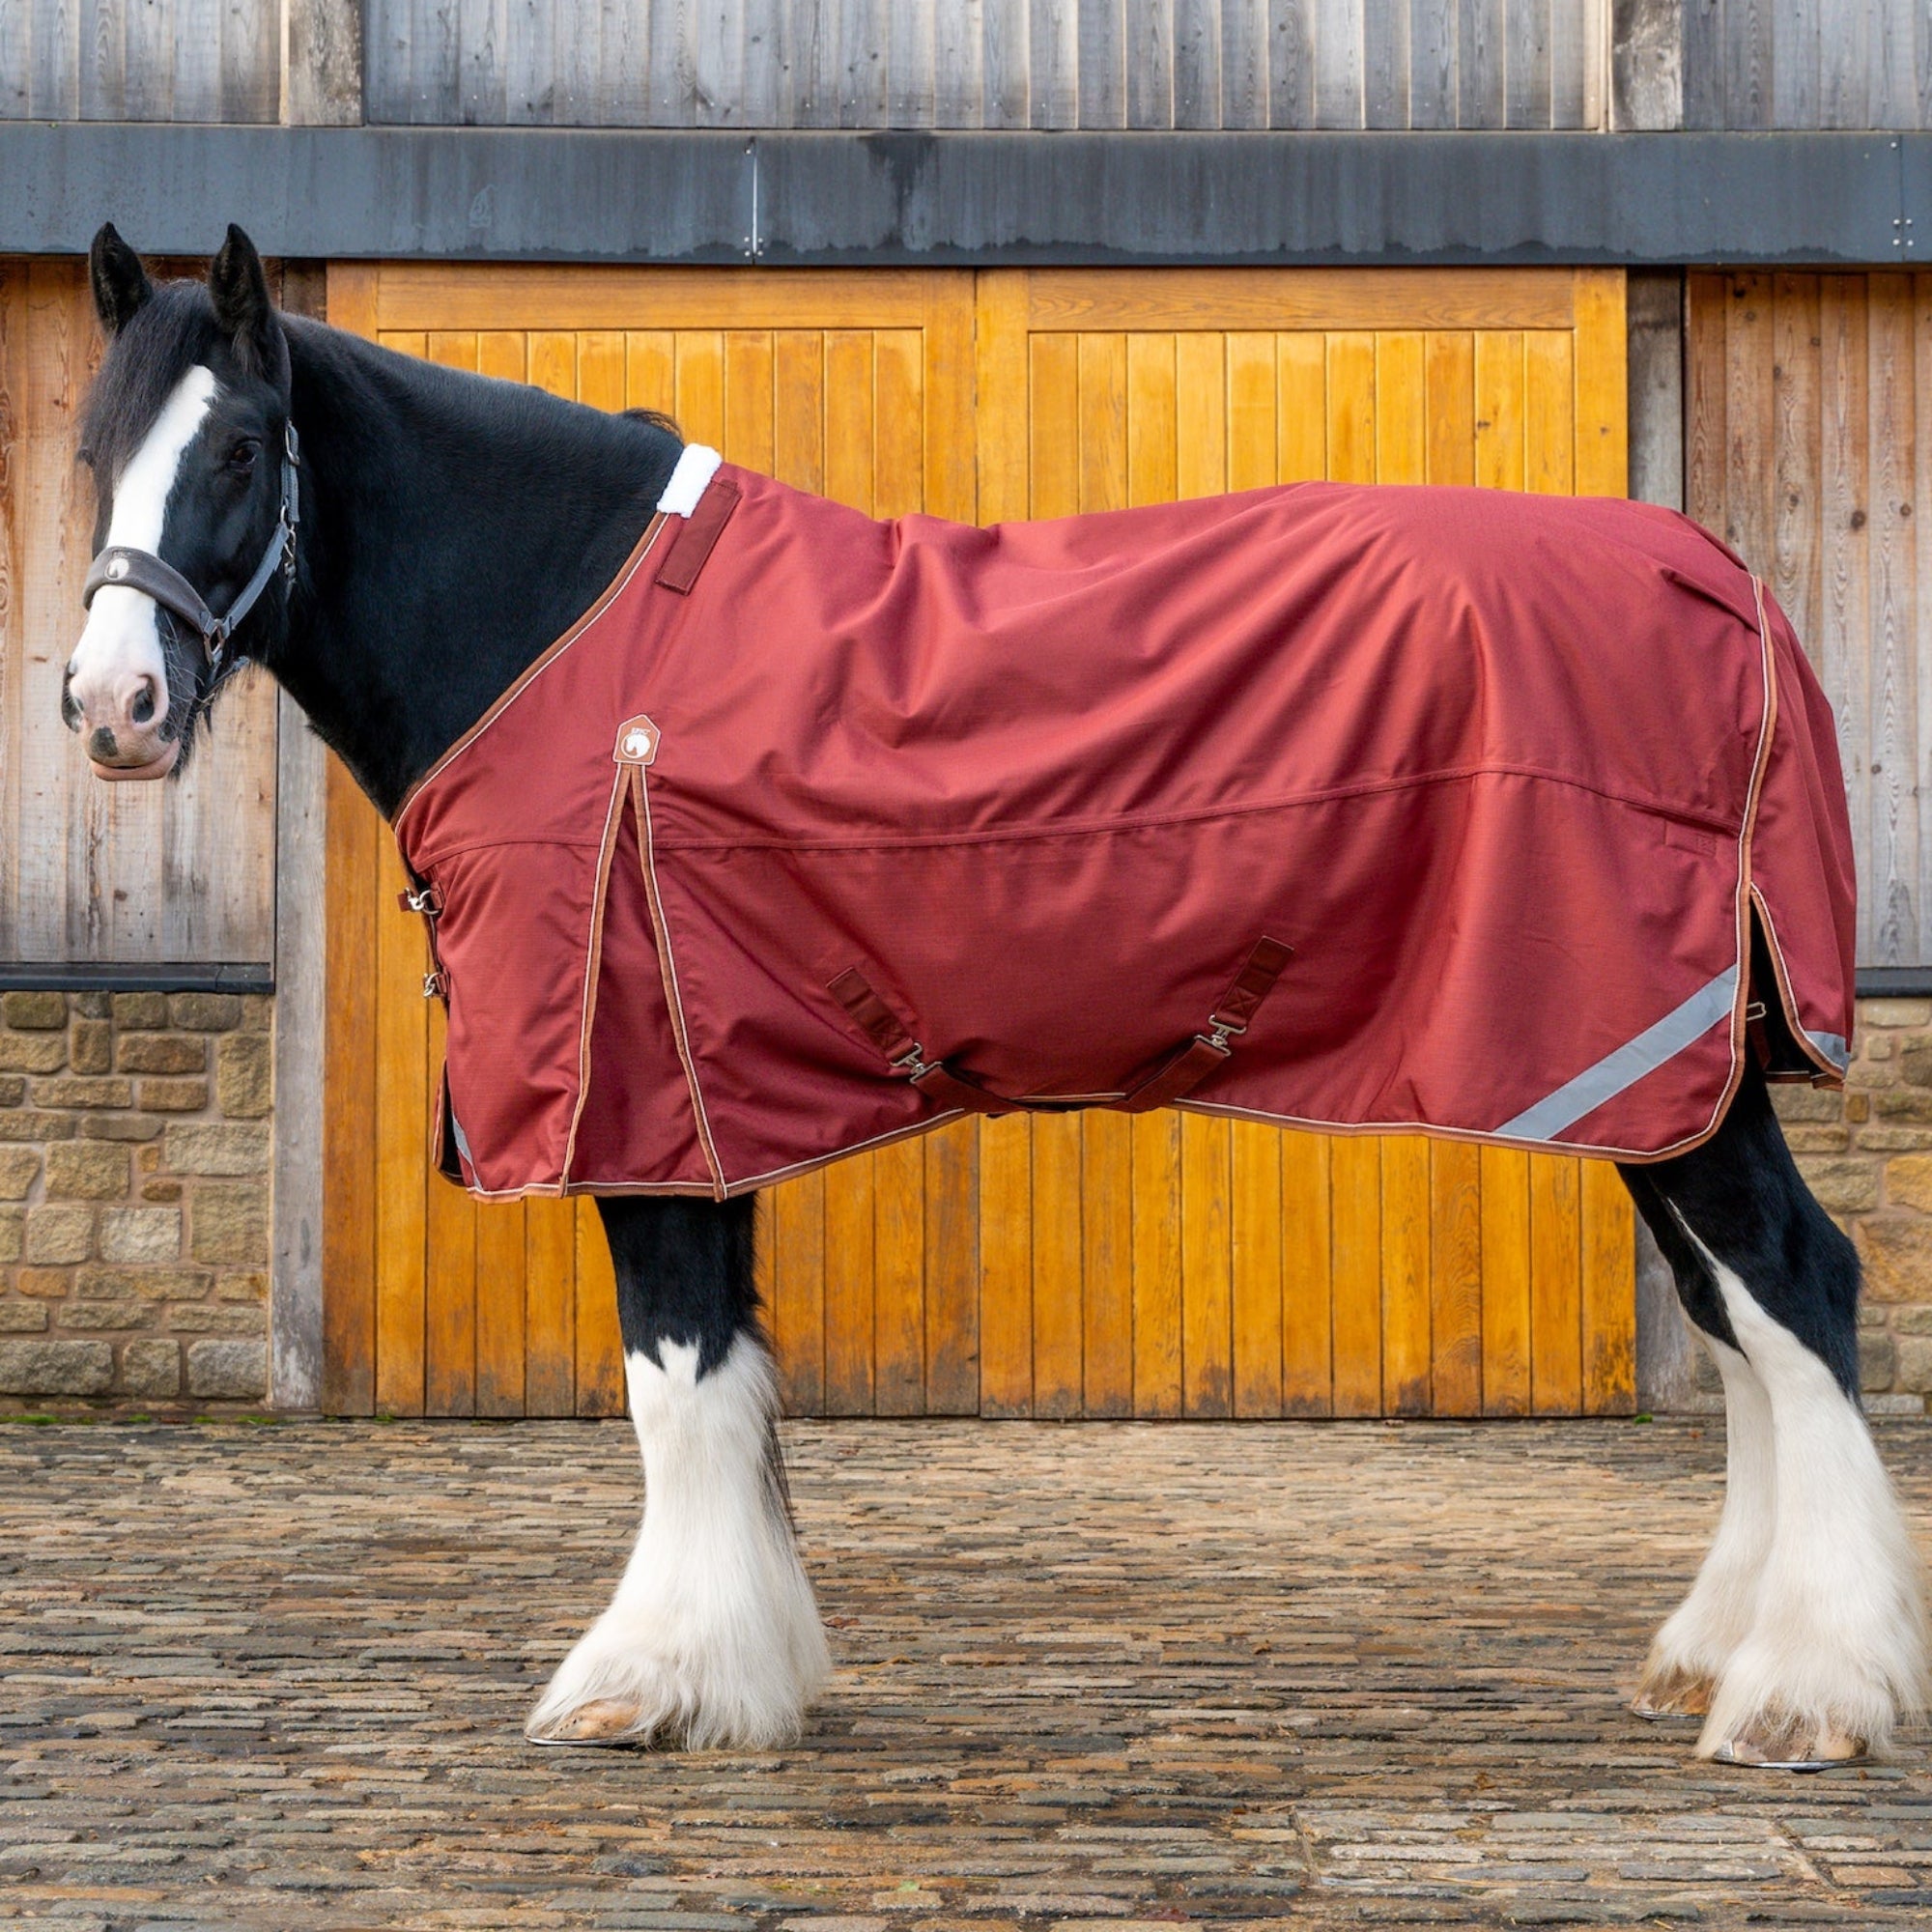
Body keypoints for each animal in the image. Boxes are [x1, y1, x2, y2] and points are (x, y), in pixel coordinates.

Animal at [59, 224, 1930, 1771]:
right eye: (89, 451)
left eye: (238, 449)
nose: (110, 705)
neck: (571, 641)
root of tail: (1726, 586)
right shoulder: (710, 1105)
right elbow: (730, 1391)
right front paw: (744, 1672)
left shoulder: (647, 1104)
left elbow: (673, 1383)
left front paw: (648, 1681)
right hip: (1656, 1085)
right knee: (1739, 1320)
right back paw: (1714, 1654)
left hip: (1659, 1079)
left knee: (1798, 1290)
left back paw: (1807, 1694)